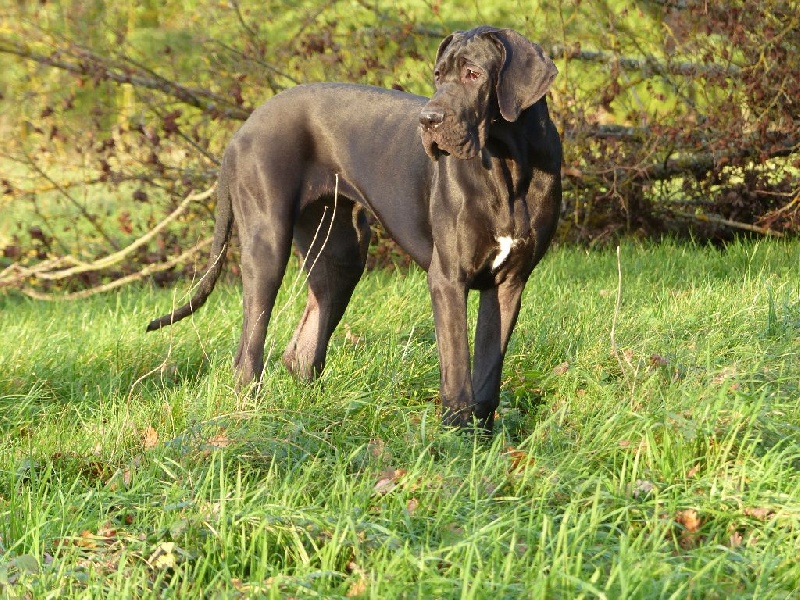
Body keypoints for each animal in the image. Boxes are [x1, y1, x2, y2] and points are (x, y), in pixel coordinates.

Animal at [150, 28, 564, 432]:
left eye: (473, 74)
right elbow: (458, 369)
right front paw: (456, 439)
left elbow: (488, 372)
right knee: (248, 354)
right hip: (267, 247)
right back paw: (249, 420)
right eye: (438, 75)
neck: (510, 167)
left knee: (303, 351)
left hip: (340, 255)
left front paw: (483, 440)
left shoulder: (508, 283)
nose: (428, 119)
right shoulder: (448, 278)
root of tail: (245, 126)